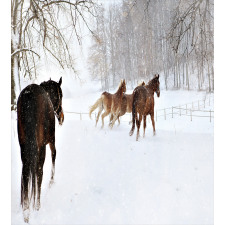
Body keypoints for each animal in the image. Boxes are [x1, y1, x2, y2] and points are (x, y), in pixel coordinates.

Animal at [16, 77, 63, 223]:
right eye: (61, 95)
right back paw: (37, 205)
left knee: (25, 171)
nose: (61, 117)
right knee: (39, 171)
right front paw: (52, 181)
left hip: (24, 147)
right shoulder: (51, 140)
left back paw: (26, 211)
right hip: (41, 146)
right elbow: (54, 155)